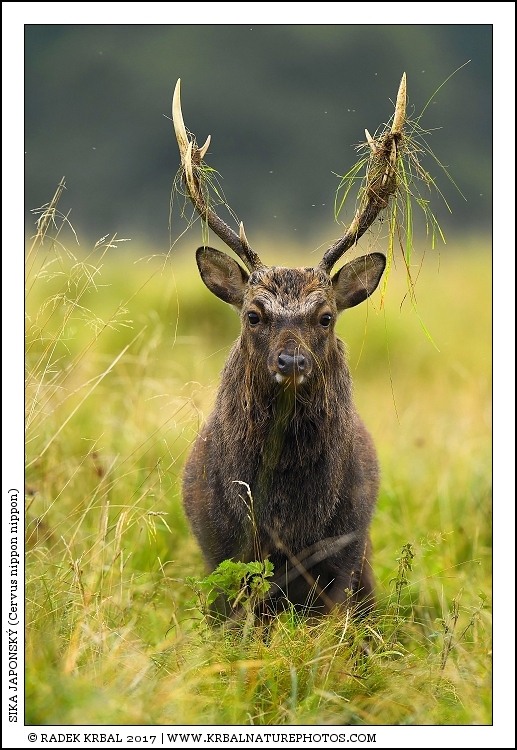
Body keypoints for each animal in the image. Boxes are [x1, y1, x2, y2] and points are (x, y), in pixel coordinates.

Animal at [173, 74, 406, 618]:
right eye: (253, 315)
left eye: (326, 316)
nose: (292, 360)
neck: (287, 521)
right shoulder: (220, 549)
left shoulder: (345, 550)